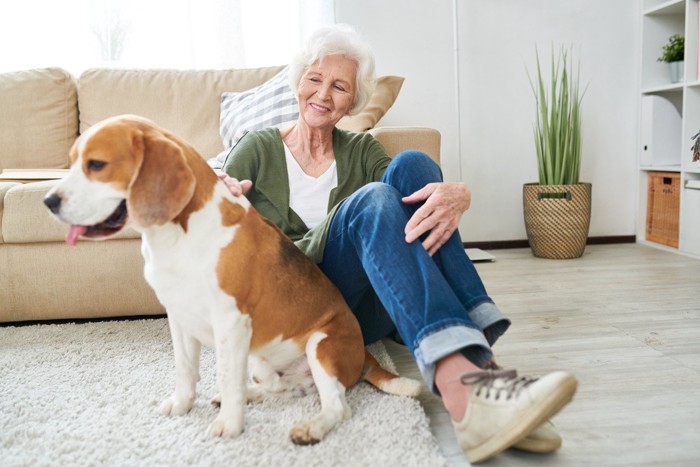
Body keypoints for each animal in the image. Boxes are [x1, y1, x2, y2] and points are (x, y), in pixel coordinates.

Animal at [45, 115, 422, 444]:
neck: (176, 237)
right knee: (281, 388)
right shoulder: (179, 317)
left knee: (338, 406)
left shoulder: (230, 322)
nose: (48, 201)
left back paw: (310, 426)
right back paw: (251, 395)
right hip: (258, 358)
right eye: (73, 162)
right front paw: (183, 405)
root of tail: (364, 353)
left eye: (96, 165)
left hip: (321, 345)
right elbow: (185, 370)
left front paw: (229, 425)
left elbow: (226, 376)